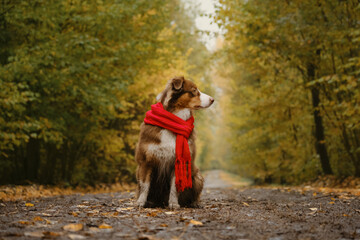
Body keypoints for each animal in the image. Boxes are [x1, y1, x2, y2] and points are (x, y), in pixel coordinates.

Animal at [134, 76, 214, 208]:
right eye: (194, 90)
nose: (212, 100)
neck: (173, 121)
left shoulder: (177, 162)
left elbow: (175, 187)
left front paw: (173, 204)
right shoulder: (146, 160)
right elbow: (145, 185)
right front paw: (140, 202)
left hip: (196, 175)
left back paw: (194, 203)